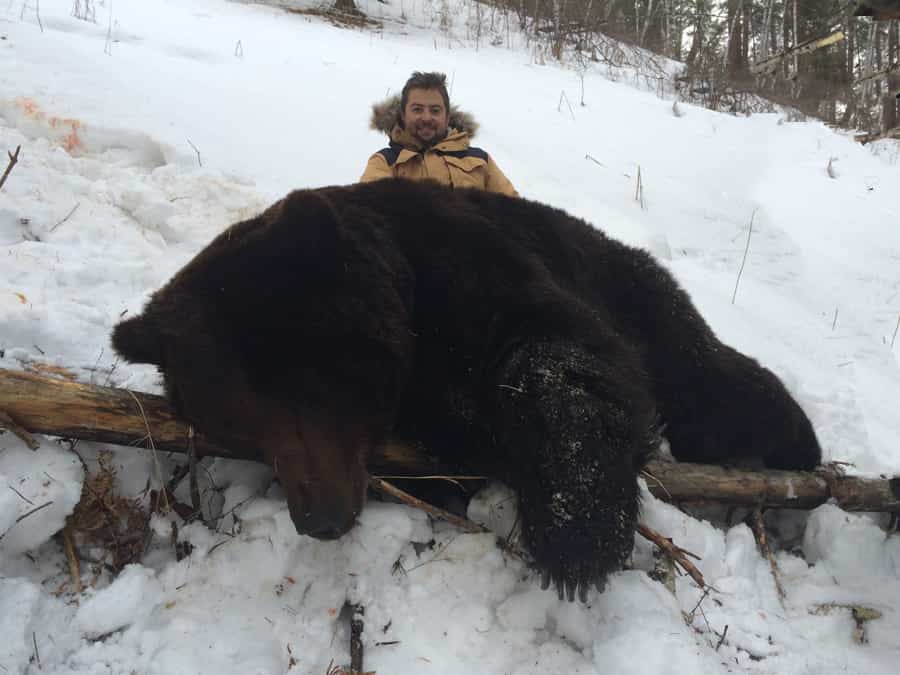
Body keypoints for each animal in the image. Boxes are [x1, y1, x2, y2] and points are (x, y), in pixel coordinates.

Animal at [112, 178, 824, 604]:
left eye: (304, 385)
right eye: (241, 419)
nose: (320, 519)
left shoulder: (476, 271)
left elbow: (560, 356)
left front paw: (578, 537)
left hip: (639, 294)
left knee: (713, 381)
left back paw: (798, 450)